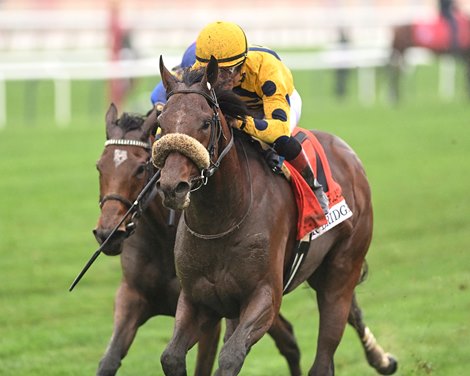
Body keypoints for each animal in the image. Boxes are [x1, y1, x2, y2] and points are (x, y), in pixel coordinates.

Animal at [92, 103, 302, 376]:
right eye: (100, 167)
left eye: (140, 168)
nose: (107, 233)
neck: (165, 237)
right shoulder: (132, 295)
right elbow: (109, 359)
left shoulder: (211, 315)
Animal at [154, 56, 396, 376]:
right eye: (161, 124)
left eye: (205, 122)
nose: (172, 187)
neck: (221, 220)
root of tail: (348, 155)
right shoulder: (198, 300)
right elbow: (171, 356)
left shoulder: (265, 296)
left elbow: (231, 356)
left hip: (341, 271)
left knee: (324, 356)